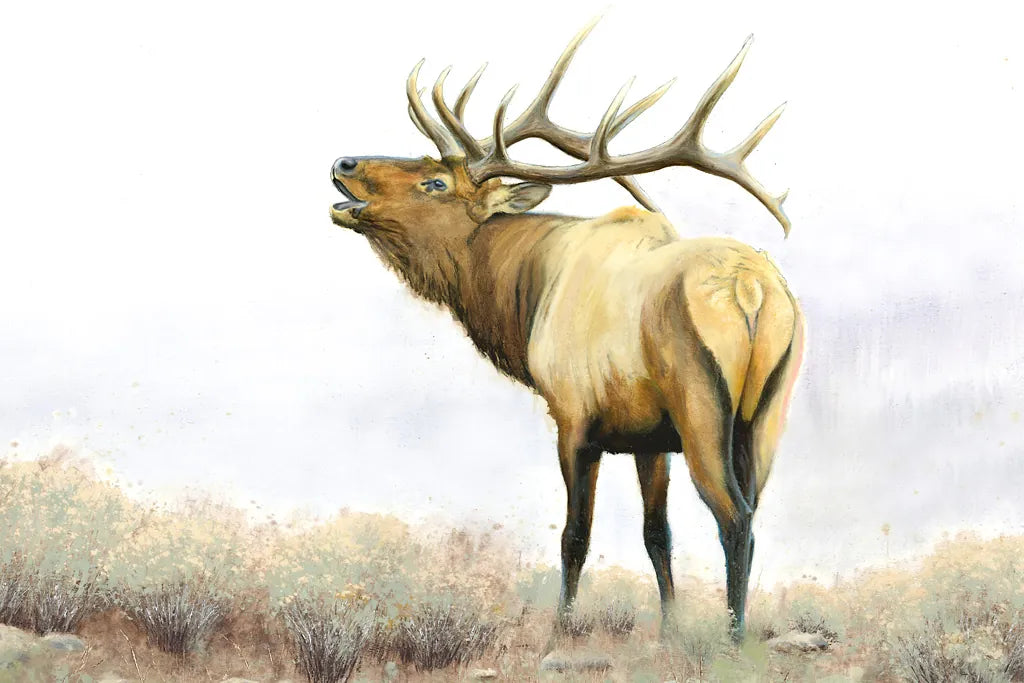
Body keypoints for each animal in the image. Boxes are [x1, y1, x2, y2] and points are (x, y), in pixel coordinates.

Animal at [328, 19, 804, 642]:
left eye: (435, 183)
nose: (344, 163)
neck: (524, 297)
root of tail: (750, 289)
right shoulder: (650, 439)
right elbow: (657, 535)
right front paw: (669, 629)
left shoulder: (575, 417)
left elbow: (574, 536)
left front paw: (560, 628)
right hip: (767, 414)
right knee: (752, 511)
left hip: (702, 405)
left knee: (734, 517)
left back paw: (732, 640)